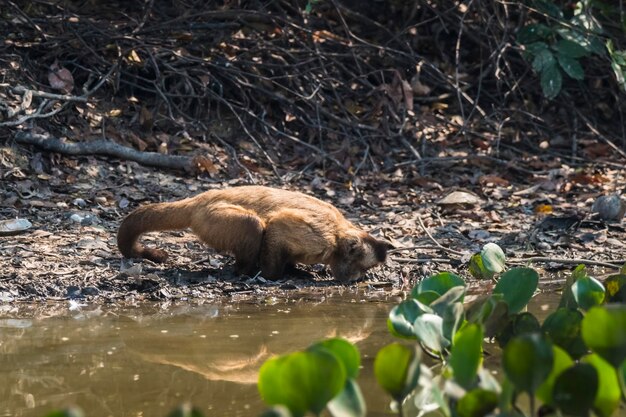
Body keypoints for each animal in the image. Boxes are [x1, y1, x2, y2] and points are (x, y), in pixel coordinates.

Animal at [116, 184, 390, 280]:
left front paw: (292, 269)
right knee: (253, 225)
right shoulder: (321, 239)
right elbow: (278, 226)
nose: (358, 278)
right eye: (361, 267)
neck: (338, 233)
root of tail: (201, 199)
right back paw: (244, 271)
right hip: (213, 218)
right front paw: (272, 274)